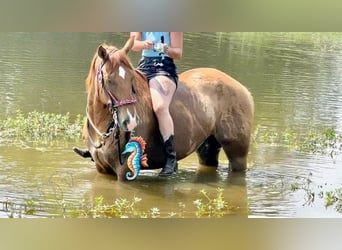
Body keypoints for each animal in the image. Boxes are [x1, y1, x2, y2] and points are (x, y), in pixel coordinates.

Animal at [73, 36, 254, 182]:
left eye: (132, 80)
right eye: (109, 80)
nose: (130, 121)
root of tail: (243, 89)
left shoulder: (123, 171)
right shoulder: (102, 169)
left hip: (237, 153)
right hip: (207, 149)